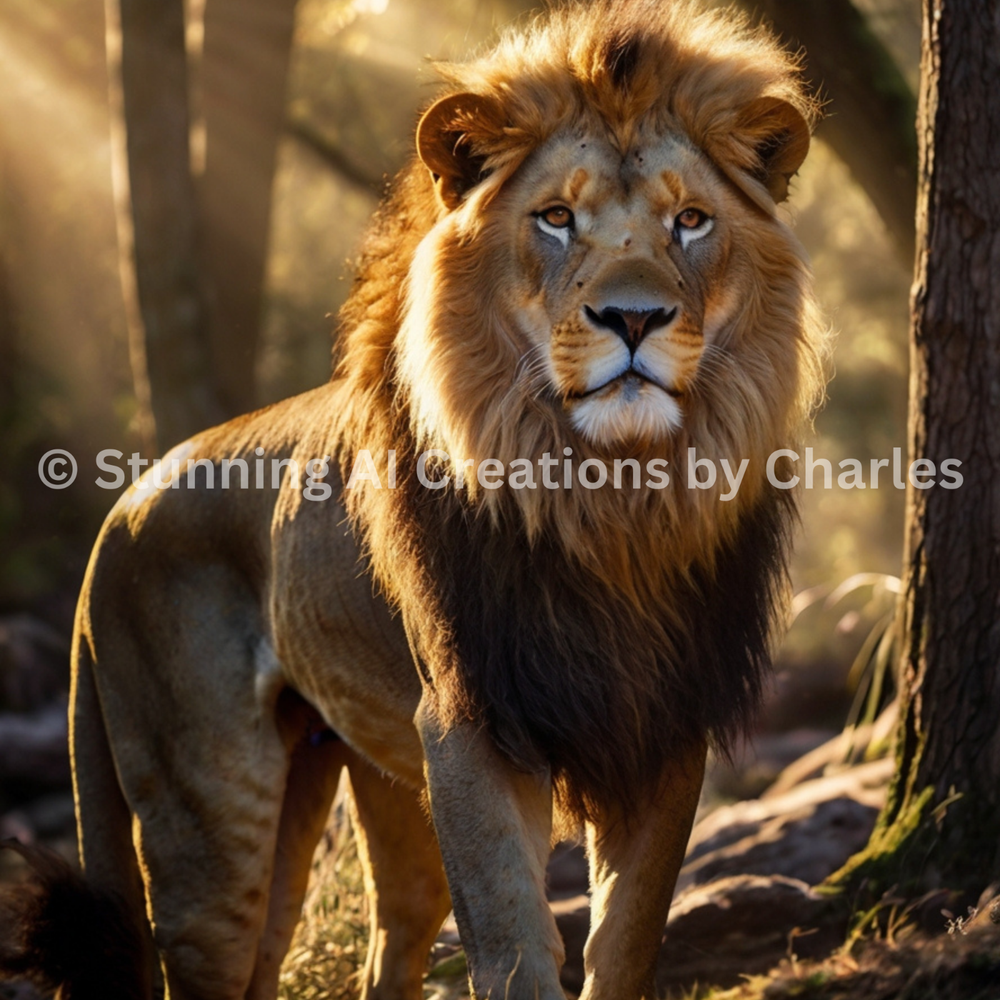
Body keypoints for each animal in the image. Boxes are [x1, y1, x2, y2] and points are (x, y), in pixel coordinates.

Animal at [0, 2, 826, 998]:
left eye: (691, 221)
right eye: (557, 218)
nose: (633, 318)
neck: (607, 497)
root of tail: (118, 515)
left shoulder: (662, 726)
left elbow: (626, 940)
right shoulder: (468, 722)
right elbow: (512, 944)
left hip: (352, 780)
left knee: (373, 950)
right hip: (211, 811)